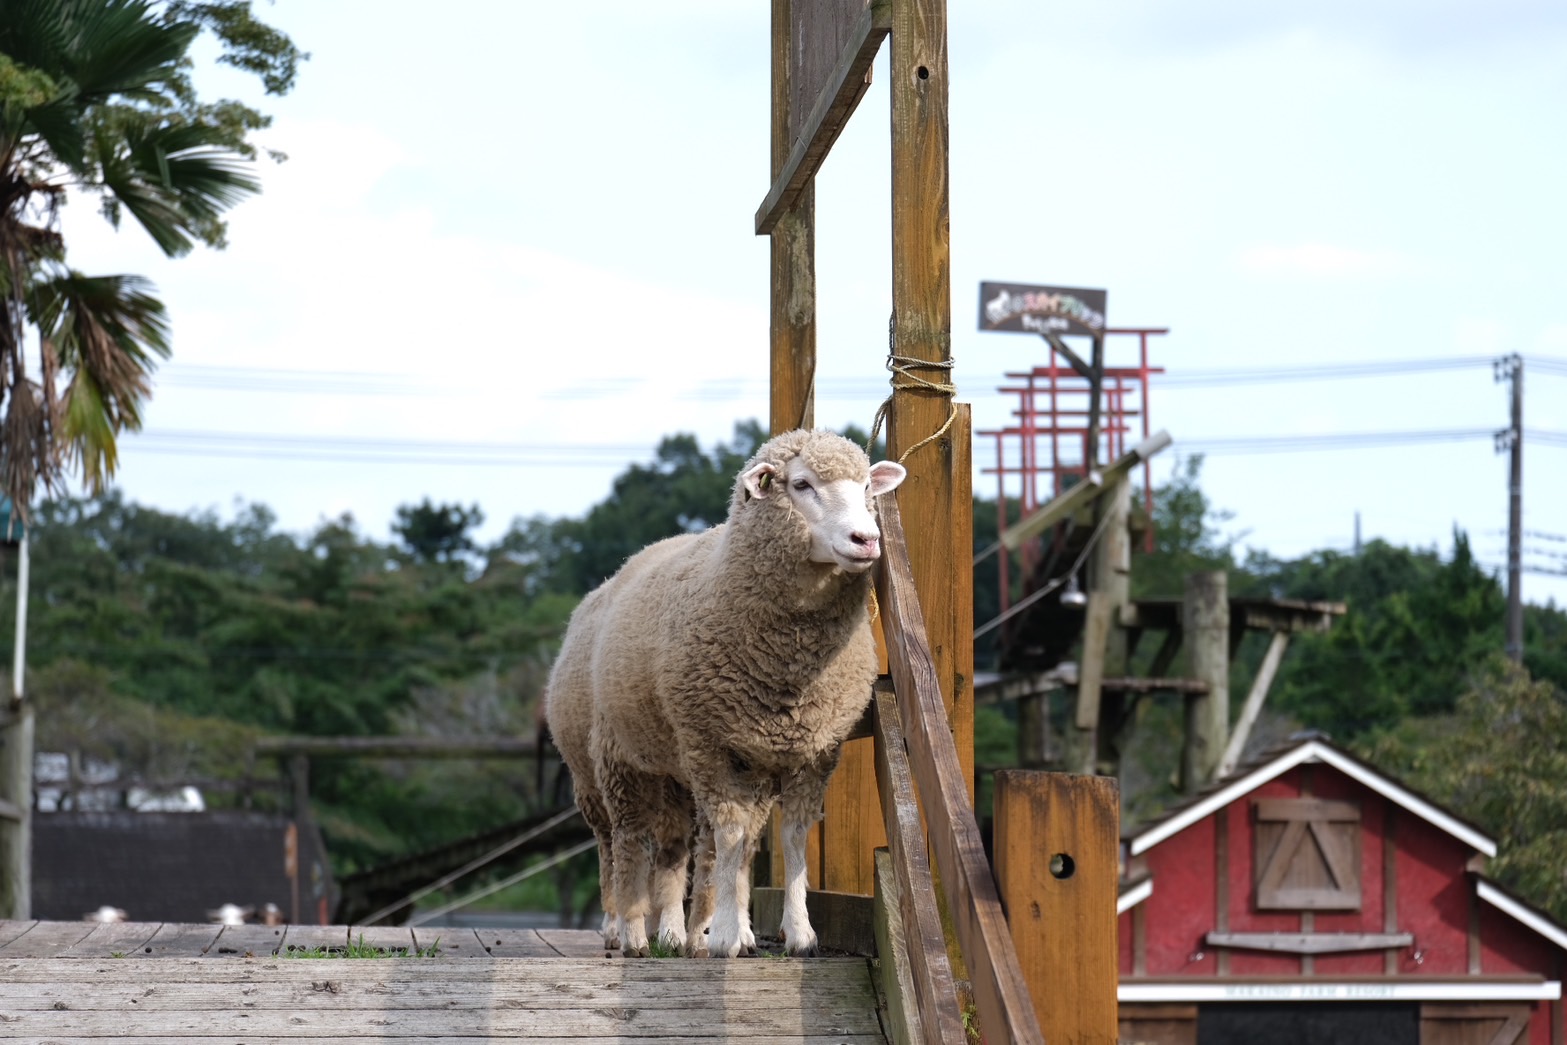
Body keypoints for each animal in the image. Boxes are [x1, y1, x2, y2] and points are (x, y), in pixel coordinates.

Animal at [545, 429, 908, 958]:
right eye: (801, 484)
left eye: (866, 488)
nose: (867, 540)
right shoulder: (710, 746)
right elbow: (731, 833)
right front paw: (726, 937)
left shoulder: (813, 750)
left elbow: (788, 836)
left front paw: (795, 932)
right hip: (605, 763)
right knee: (621, 840)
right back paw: (626, 930)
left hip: (675, 765)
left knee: (677, 847)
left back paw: (675, 932)